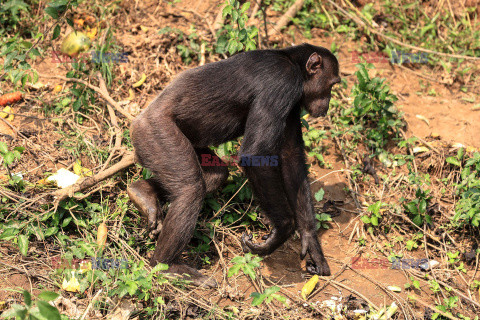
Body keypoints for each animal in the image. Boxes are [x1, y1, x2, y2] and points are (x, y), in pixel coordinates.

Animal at [127, 43, 342, 288]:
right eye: (331, 85)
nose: (328, 103)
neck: (293, 63)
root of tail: (136, 121)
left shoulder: (293, 104)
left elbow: (291, 157)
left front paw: (310, 241)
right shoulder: (281, 83)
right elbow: (255, 154)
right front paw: (281, 232)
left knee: (214, 176)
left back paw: (142, 194)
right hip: (156, 132)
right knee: (190, 189)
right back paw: (167, 266)